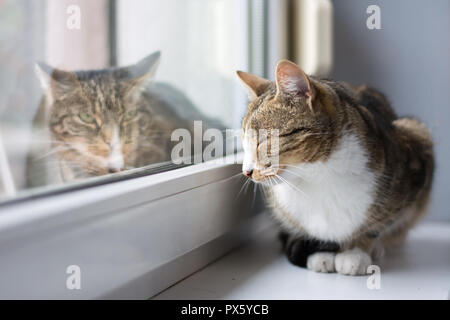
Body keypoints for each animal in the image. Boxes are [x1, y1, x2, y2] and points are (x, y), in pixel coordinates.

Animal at [237, 59, 434, 276]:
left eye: (263, 141)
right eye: (244, 144)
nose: (246, 172)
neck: (316, 176)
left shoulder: (414, 150)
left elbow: (376, 225)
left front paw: (356, 252)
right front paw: (321, 253)